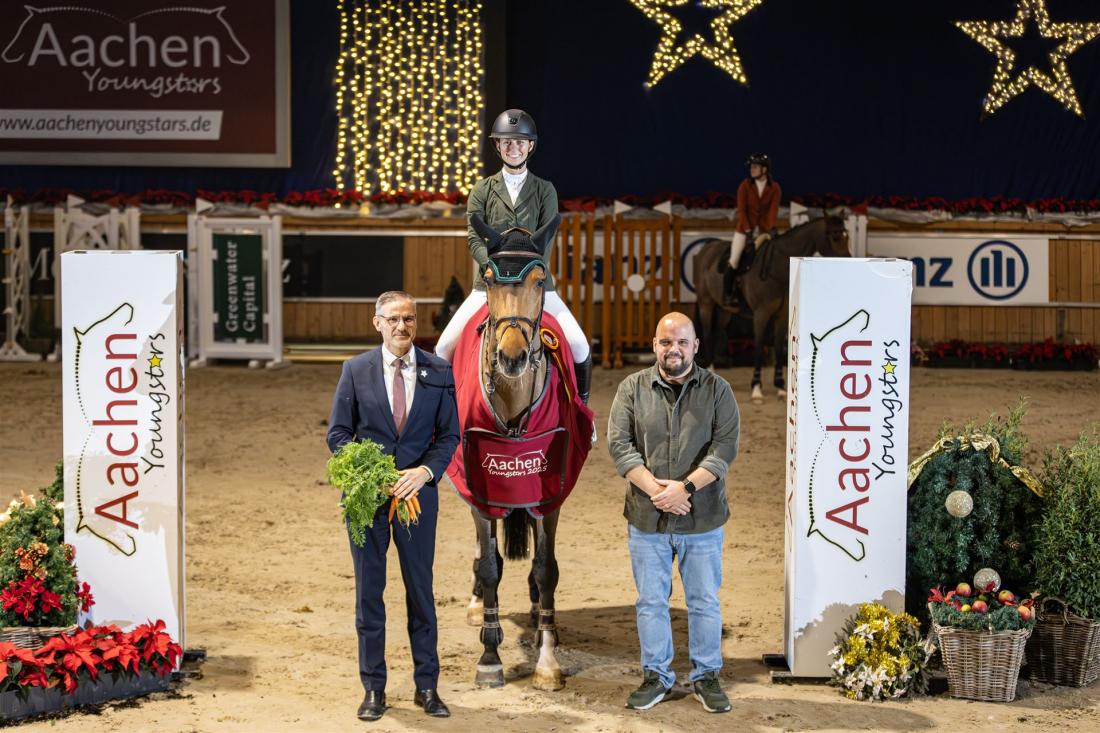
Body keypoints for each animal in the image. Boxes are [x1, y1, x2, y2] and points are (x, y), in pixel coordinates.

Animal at [446, 213, 593, 692]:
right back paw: (477, 603)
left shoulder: (549, 490)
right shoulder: (481, 487)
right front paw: (489, 658)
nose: (512, 357)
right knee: (483, 552)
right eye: (490, 277)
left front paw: (547, 660)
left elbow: (548, 568)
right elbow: (491, 566)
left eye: (540, 278)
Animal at [693, 215, 850, 402]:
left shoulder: (782, 316)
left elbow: (779, 346)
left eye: (847, 235)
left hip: (725, 309)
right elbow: (759, 346)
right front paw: (756, 388)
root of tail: (706, 248)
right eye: (835, 237)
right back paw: (710, 368)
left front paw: (780, 387)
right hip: (706, 303)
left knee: (718, 330)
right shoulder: (761, 315)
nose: (850, 259)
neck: (778, 268)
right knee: (708, 333)